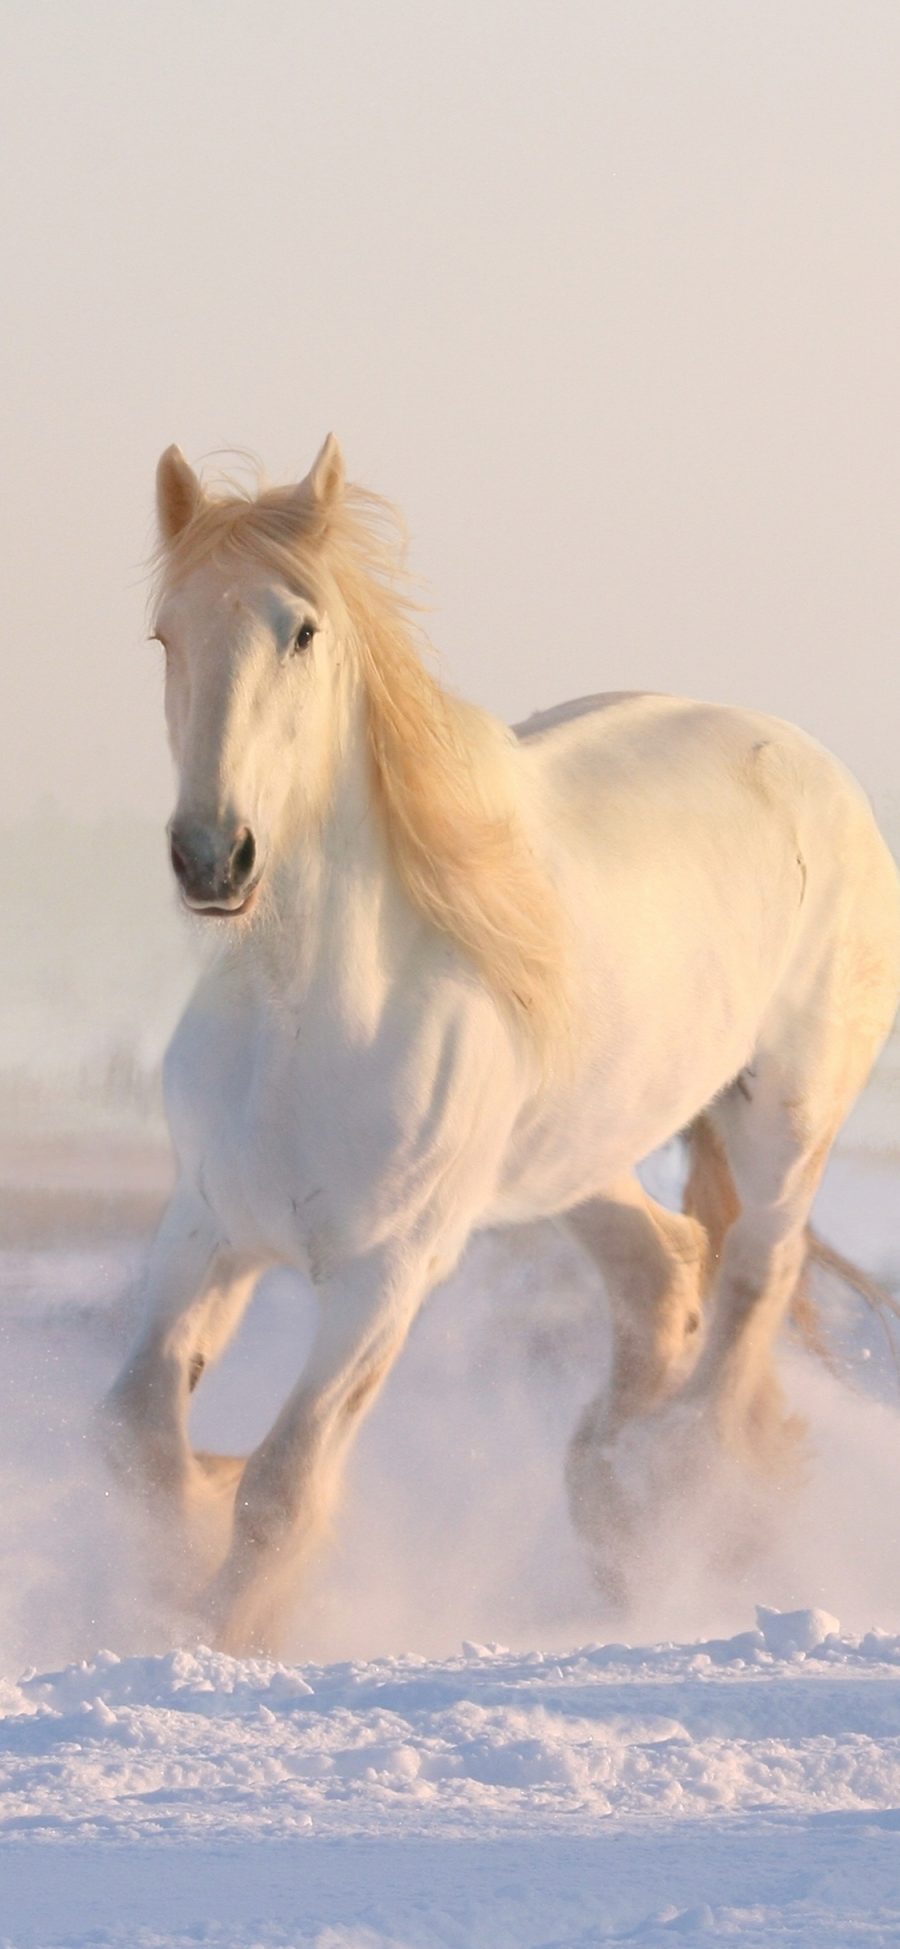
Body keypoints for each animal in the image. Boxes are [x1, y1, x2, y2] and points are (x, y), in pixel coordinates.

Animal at [103, 434, 900, 1652]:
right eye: (164, 633)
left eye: (302, 629)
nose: (213, 857)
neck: (304, 1019)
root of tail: (818, 769)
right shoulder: (206, 1225)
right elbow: (140, 1435)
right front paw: (175, 1566)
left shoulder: (387, 1273)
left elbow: (283, 1484)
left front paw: (224, 1631)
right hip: (573, 1155)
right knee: (665, 1267)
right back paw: (615, 1505)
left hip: (786, 1117)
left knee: (754, 1280)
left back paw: (676, 1494)